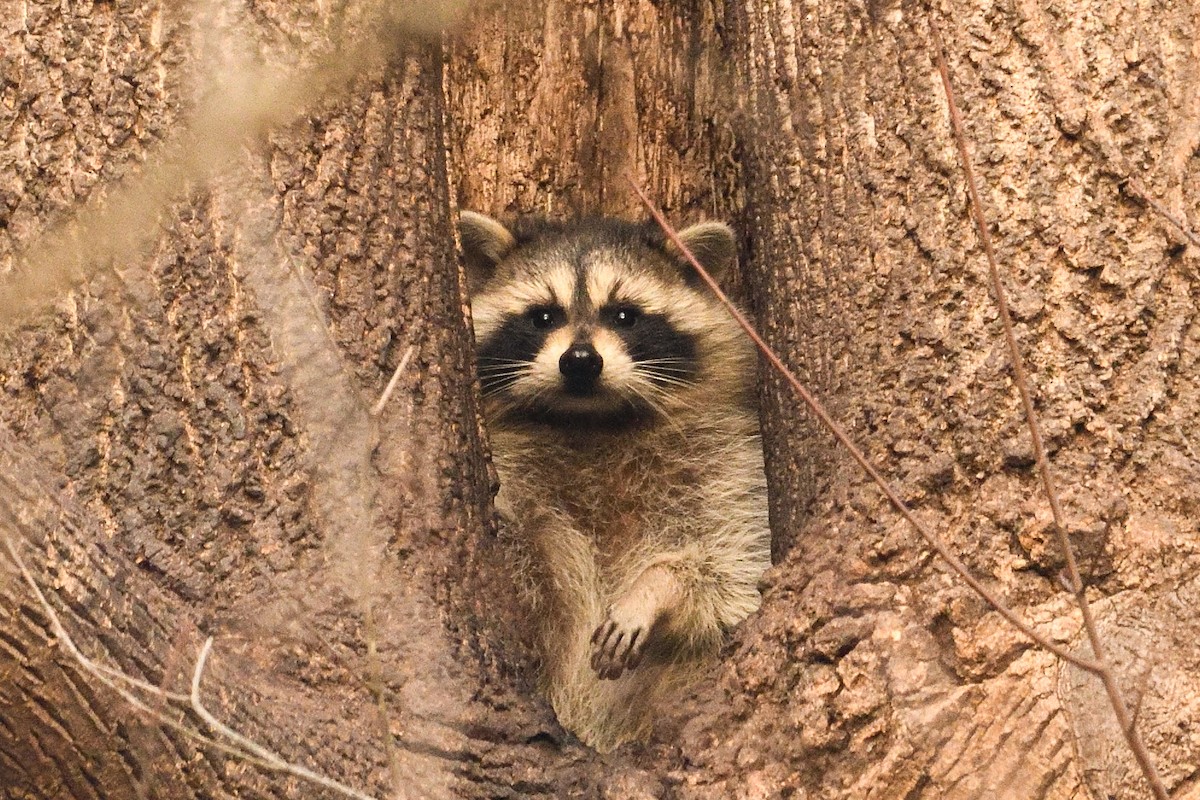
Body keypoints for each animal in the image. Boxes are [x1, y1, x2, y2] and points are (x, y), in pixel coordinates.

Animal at [459, 211, 770, 752]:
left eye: (624, 316)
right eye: (543, 317)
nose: (580, 361)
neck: (593, 423)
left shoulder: (729, 465)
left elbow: (736, 572)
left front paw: (658, 585)